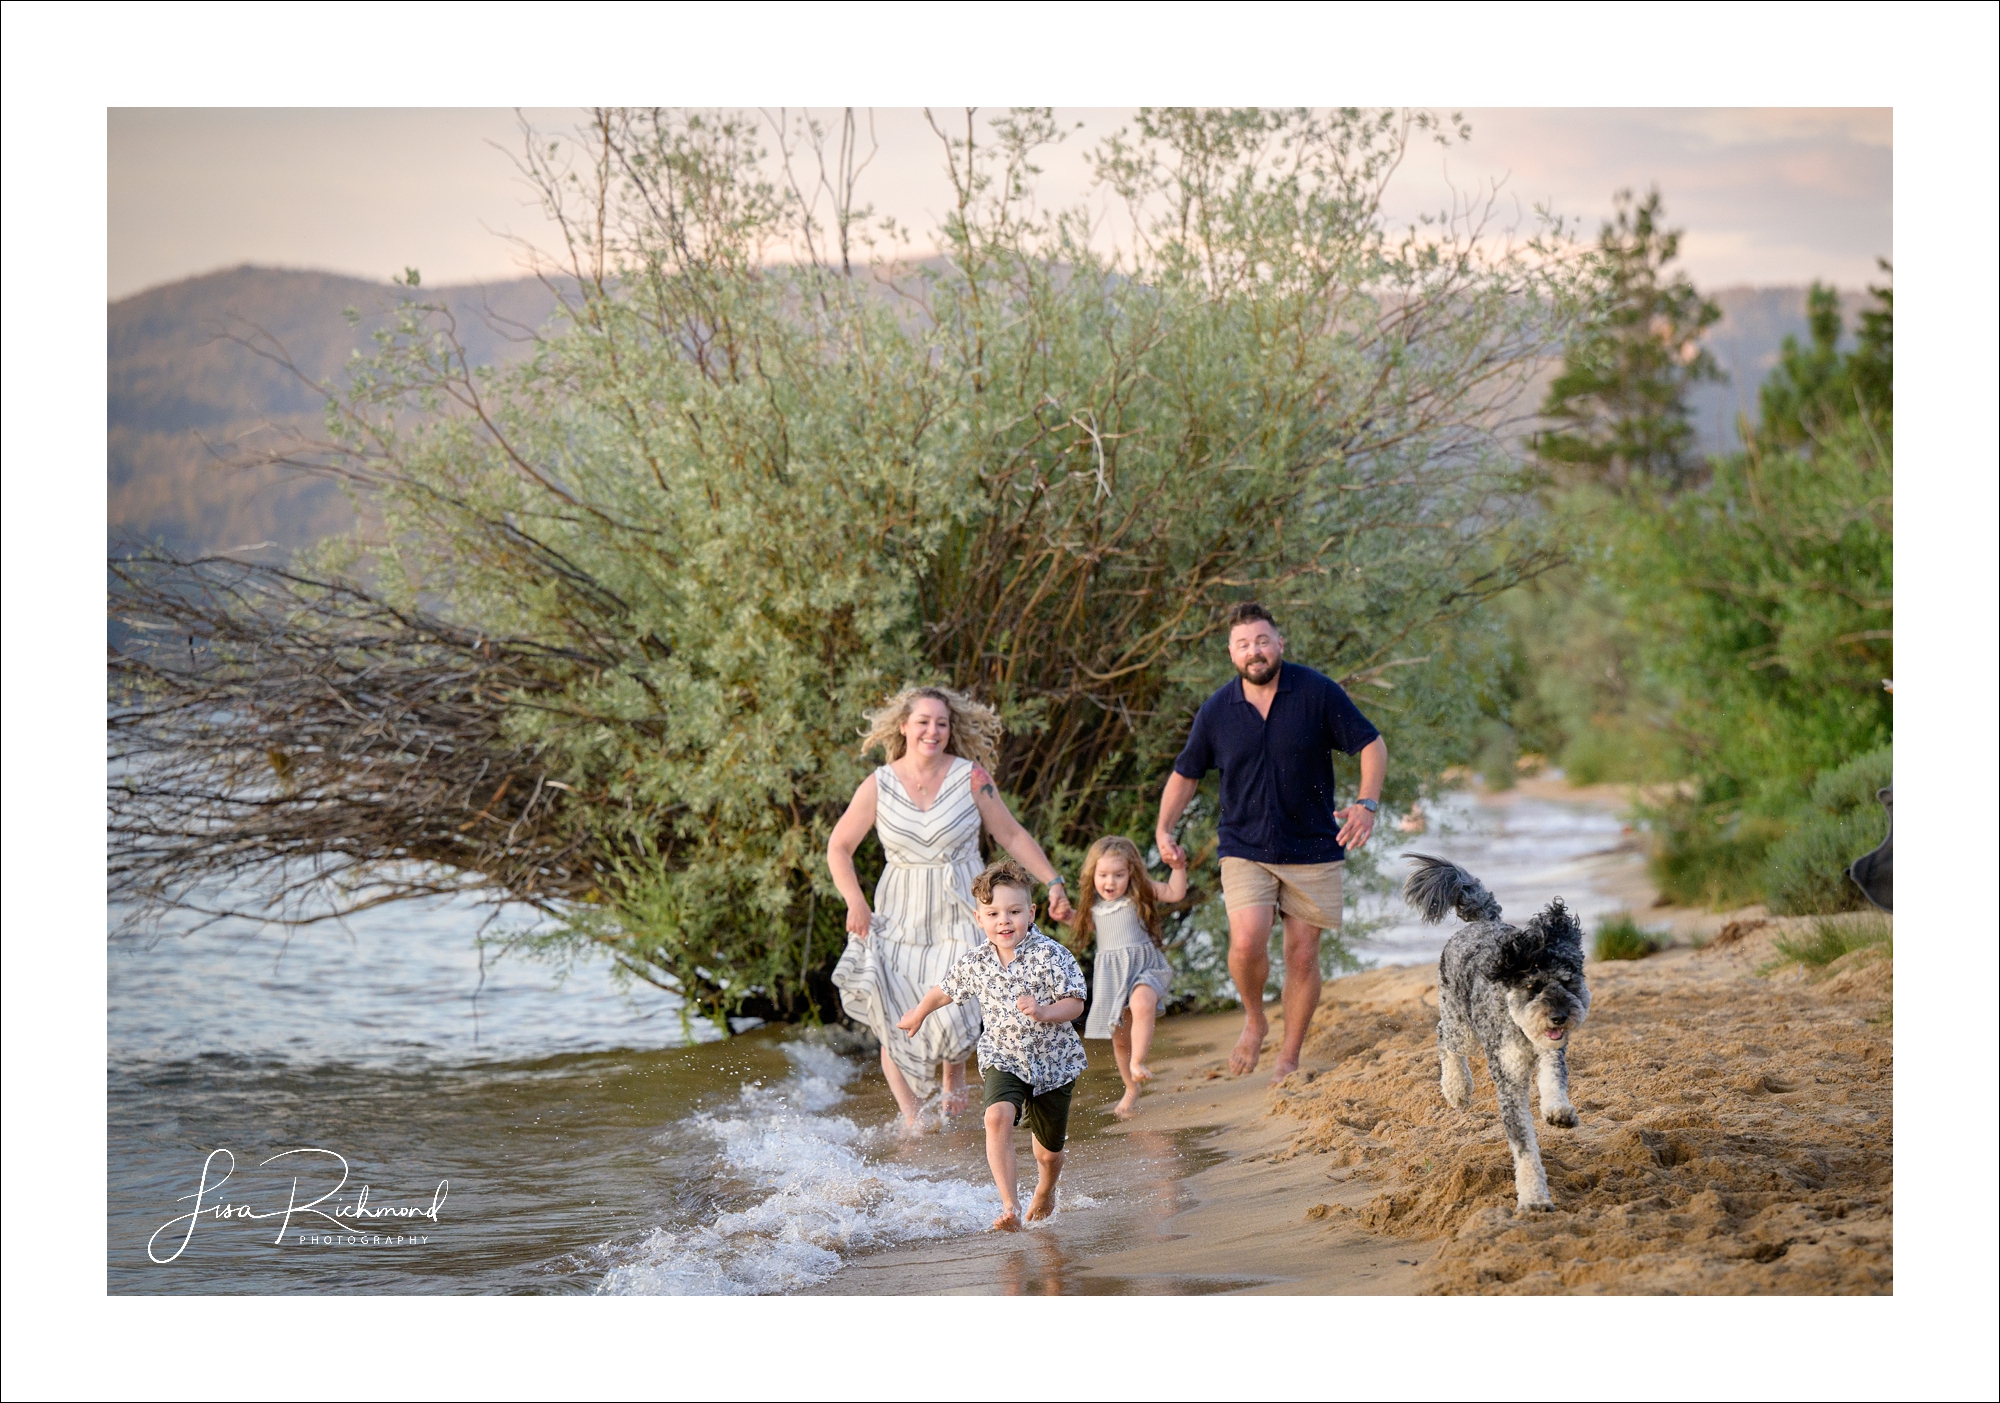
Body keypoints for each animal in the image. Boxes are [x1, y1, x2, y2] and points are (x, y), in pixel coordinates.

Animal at [1400, 851, 1584, 1215]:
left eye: (1569, 981)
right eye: (1533, 986)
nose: (1559, 1018)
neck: (1522, 1029)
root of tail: (1481, 923)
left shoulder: (1551, 1054)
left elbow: (1553, 1085)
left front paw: (1558, 1112)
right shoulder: (1509, 1083)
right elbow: (1524, 1148)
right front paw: (1534, 1198)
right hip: (1461, 1025)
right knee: (1443, 1036)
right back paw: (1456, 1089)